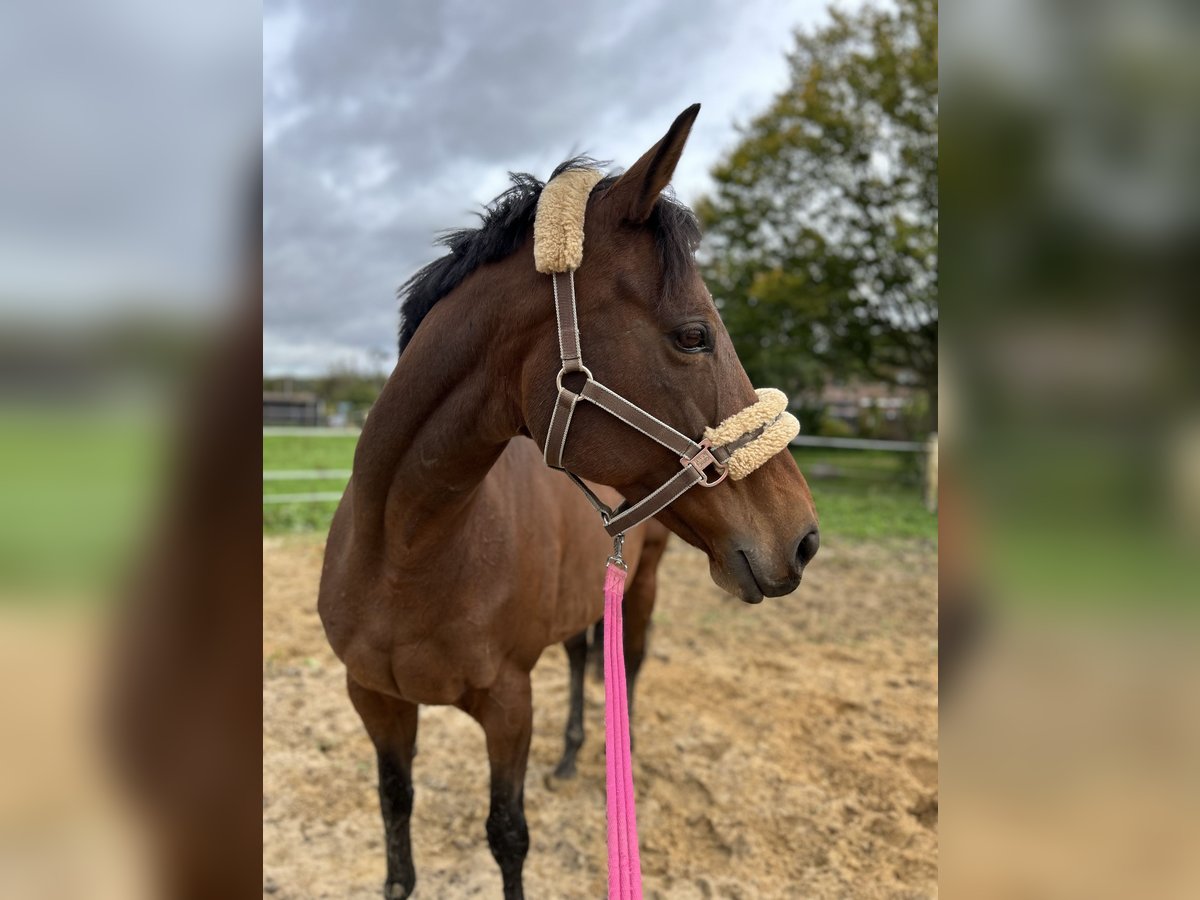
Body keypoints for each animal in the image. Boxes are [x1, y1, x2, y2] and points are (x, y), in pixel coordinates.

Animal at [319, 102, 820, 897]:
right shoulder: (374, 699)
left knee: (630, 660)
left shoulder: (507, 704)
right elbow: (395, 812)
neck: (405, 552)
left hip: (643, 582)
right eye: (694, 335)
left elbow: (507, 834)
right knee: (587, 656)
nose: (802, 538)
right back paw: (571, 754)